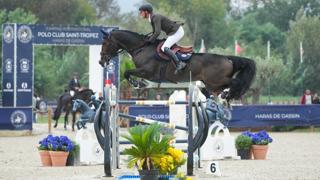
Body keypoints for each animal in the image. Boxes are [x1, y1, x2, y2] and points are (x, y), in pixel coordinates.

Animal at [99, 29, 256, 101]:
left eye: (105, 43)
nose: (101, 61)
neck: (141, 48)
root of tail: (228, 58)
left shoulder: (148, 72)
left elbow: (127, 72)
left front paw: (137, 83)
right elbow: (128, 72)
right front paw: (139, 83)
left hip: (215, 80)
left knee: (236, 82)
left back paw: (230, 94)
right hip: (212, 84)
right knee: (223, 88)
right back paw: (228, 95)